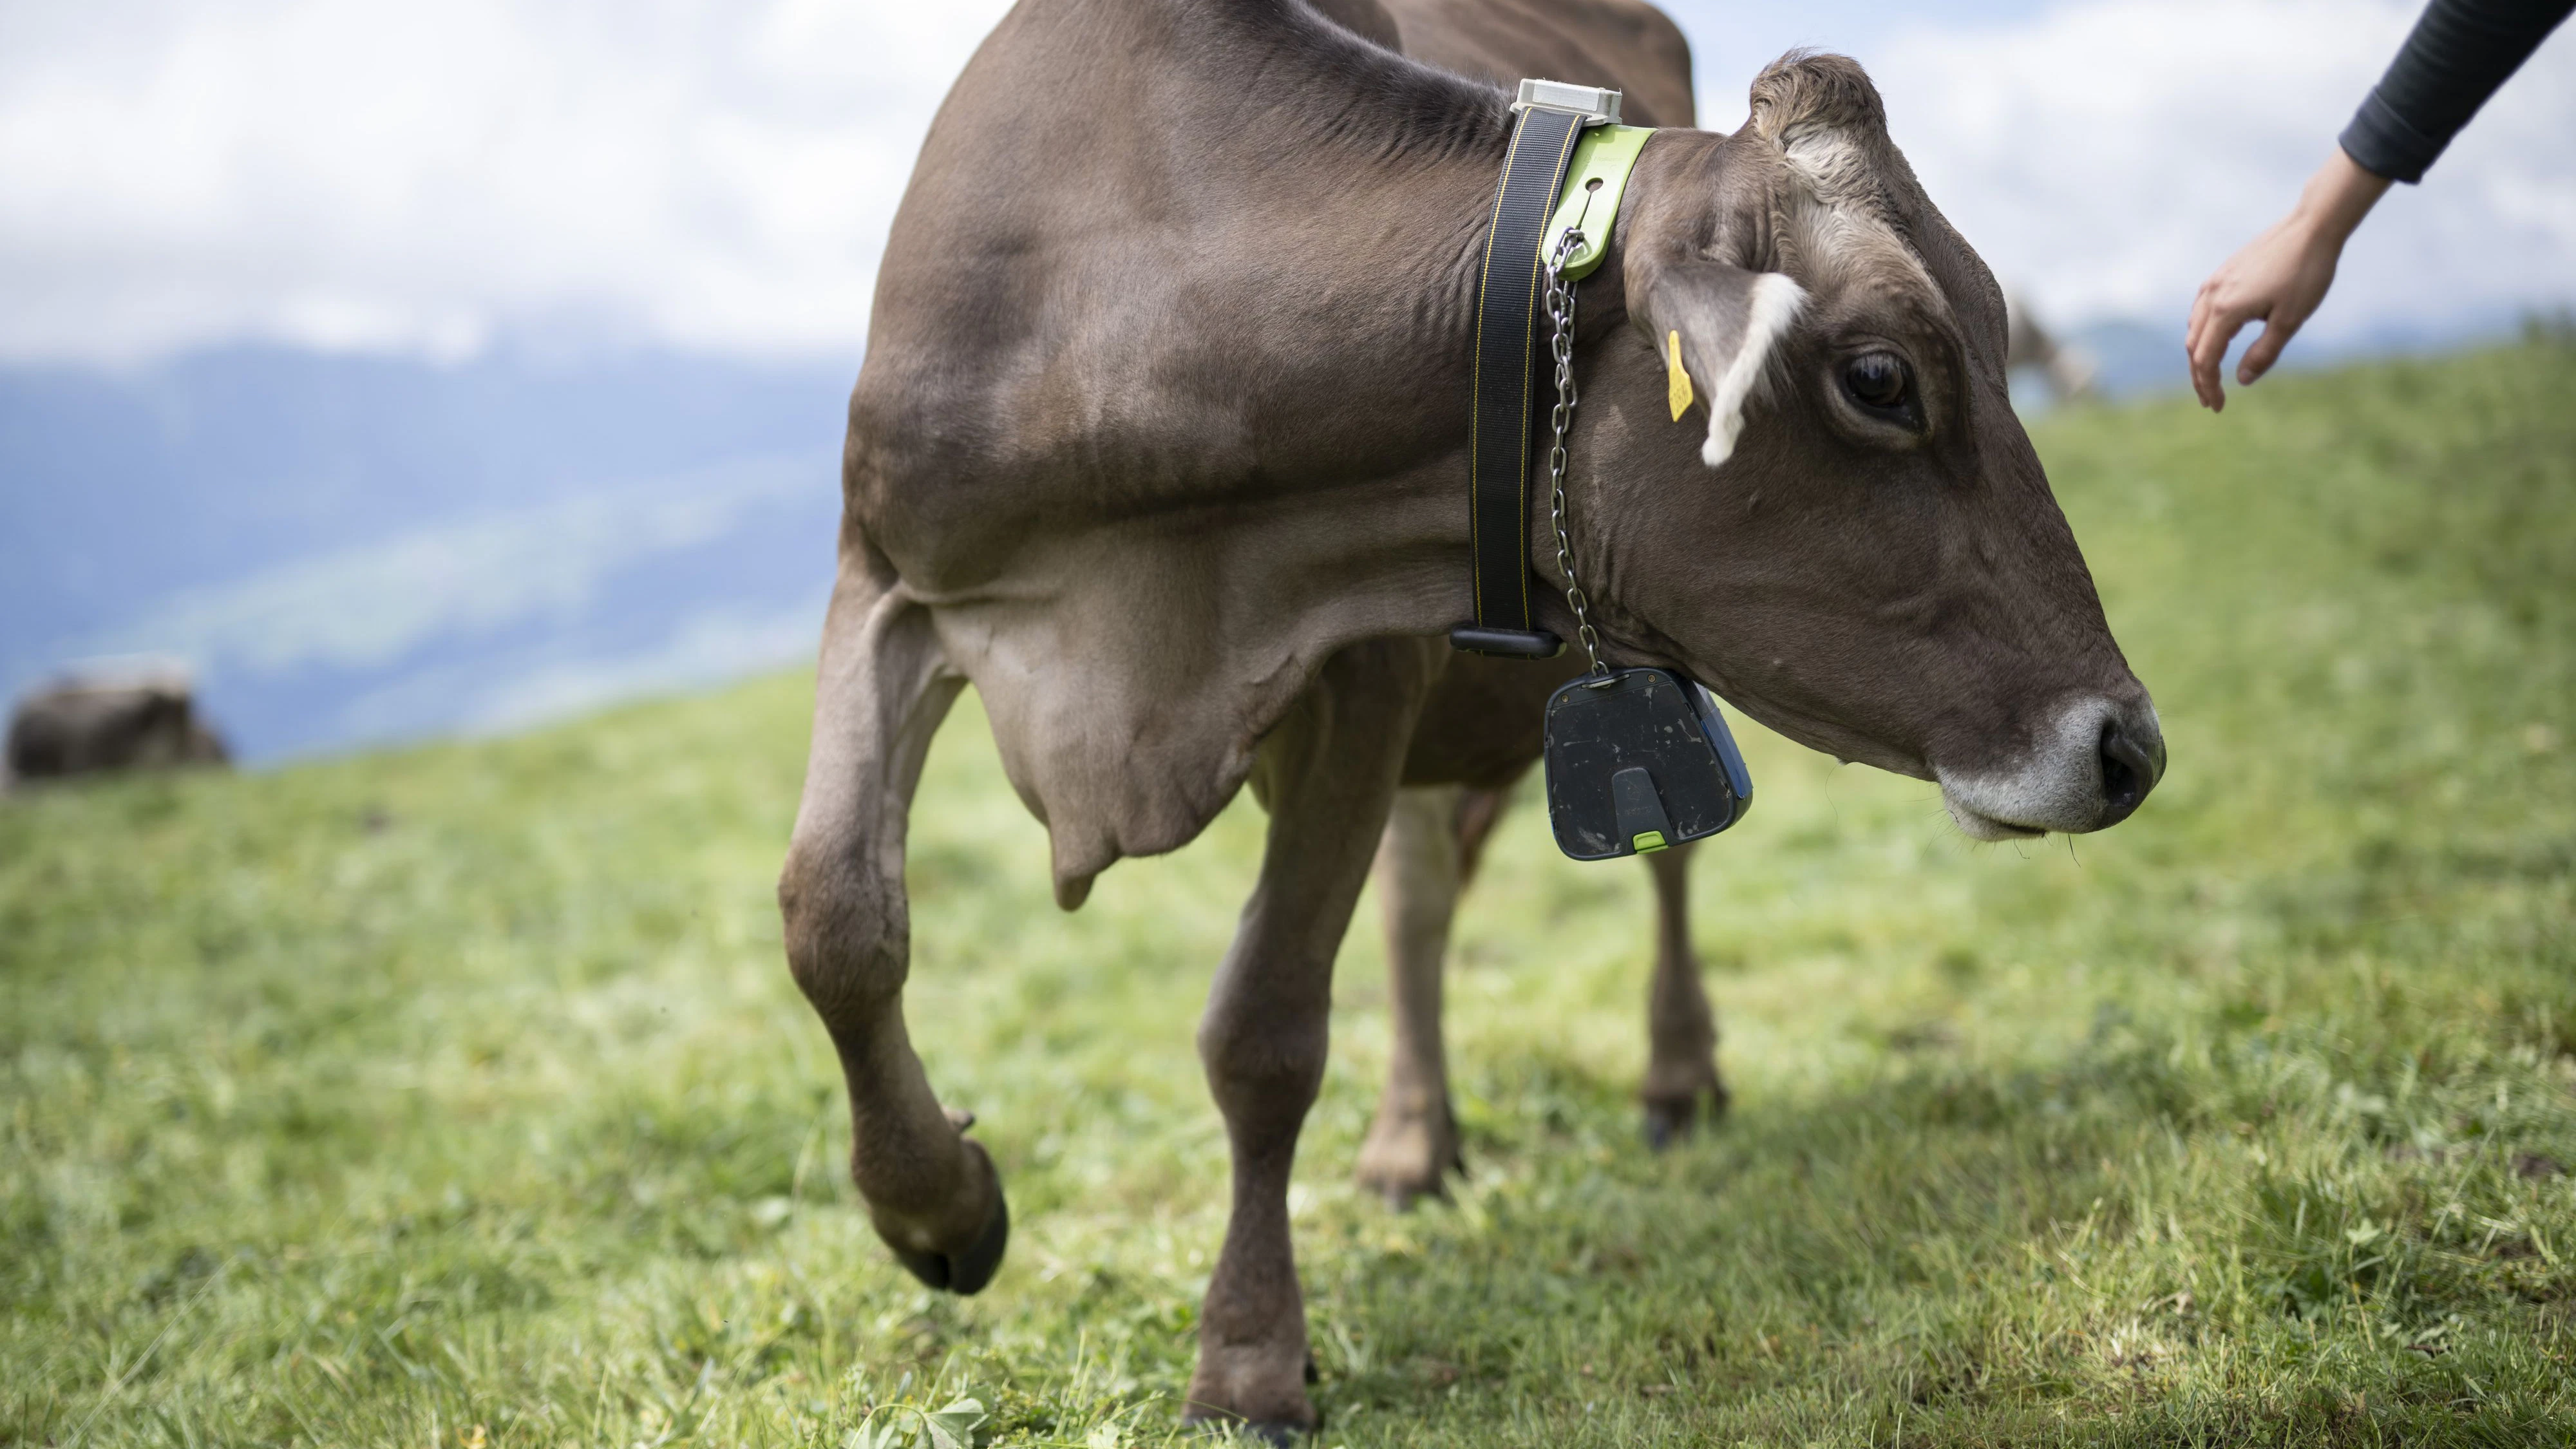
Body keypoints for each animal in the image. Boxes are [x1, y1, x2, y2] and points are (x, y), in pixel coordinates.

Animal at [777, 0, 2165, 1436]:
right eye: (1881, 378)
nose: (2127, 744)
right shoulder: (884, 581)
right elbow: (835, 921)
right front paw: (937, 1211)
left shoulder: (1367, 670)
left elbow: (1265, 1028)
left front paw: (1247, 1357)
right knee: (1420, 906)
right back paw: (1411, 1140)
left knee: (1659, 874)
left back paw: (1674, 1076)